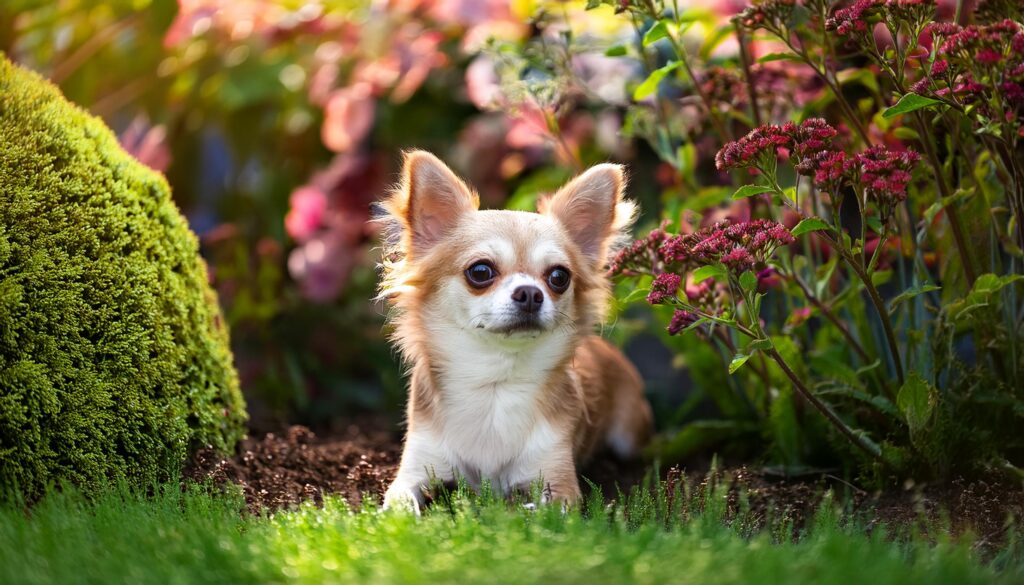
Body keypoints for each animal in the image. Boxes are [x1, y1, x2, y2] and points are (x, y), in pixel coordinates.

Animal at [378, 150, 655, 512]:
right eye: (480, 271)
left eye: (559, 277)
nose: (530, 293)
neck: (495, 383)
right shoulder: (414, 471)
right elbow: (399, 507)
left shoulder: (559, 484)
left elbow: (532, 512)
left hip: (629, 433)